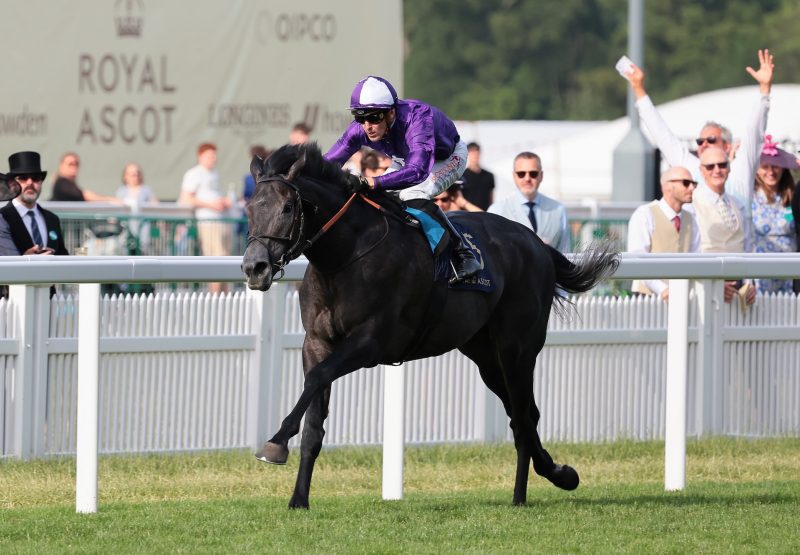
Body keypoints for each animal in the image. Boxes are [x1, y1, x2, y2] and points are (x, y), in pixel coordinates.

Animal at [242, 146, 620, 510]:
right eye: (250, 208)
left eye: (288, 207)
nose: (254, 267)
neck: (345, 259)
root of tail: (536, 242)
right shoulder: (317, 343)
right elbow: (314, 420)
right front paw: (298, 499)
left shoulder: (370, 343)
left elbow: (318, 377)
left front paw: (275, 443)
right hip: (485, 356)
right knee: (523, 414)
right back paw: (555, 475)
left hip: (518, 349)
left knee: (524, 416)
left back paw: (524, 494)